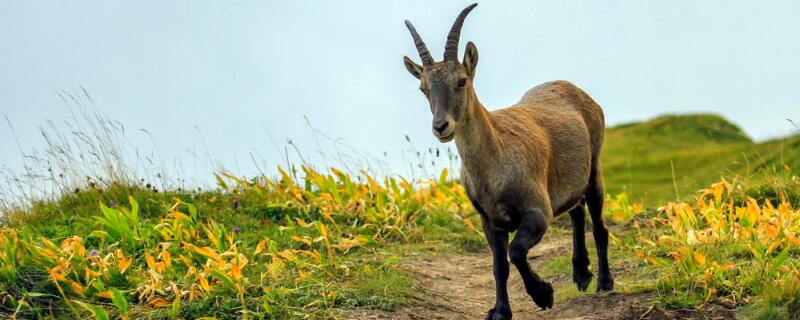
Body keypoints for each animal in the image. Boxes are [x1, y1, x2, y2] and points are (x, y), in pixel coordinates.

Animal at [404, 3, 616, 318]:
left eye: (461, 81)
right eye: (423, 88)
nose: (441, 126)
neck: (495, 164)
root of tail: (575, 89)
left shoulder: (537, 212)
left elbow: (516, 252)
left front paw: (543, 294)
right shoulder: (490, 221)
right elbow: (499, 265)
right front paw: (501, 310)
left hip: (595, 169)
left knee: (599, 226)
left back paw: (604, 282)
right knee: (576, 211)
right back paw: (581, 274)